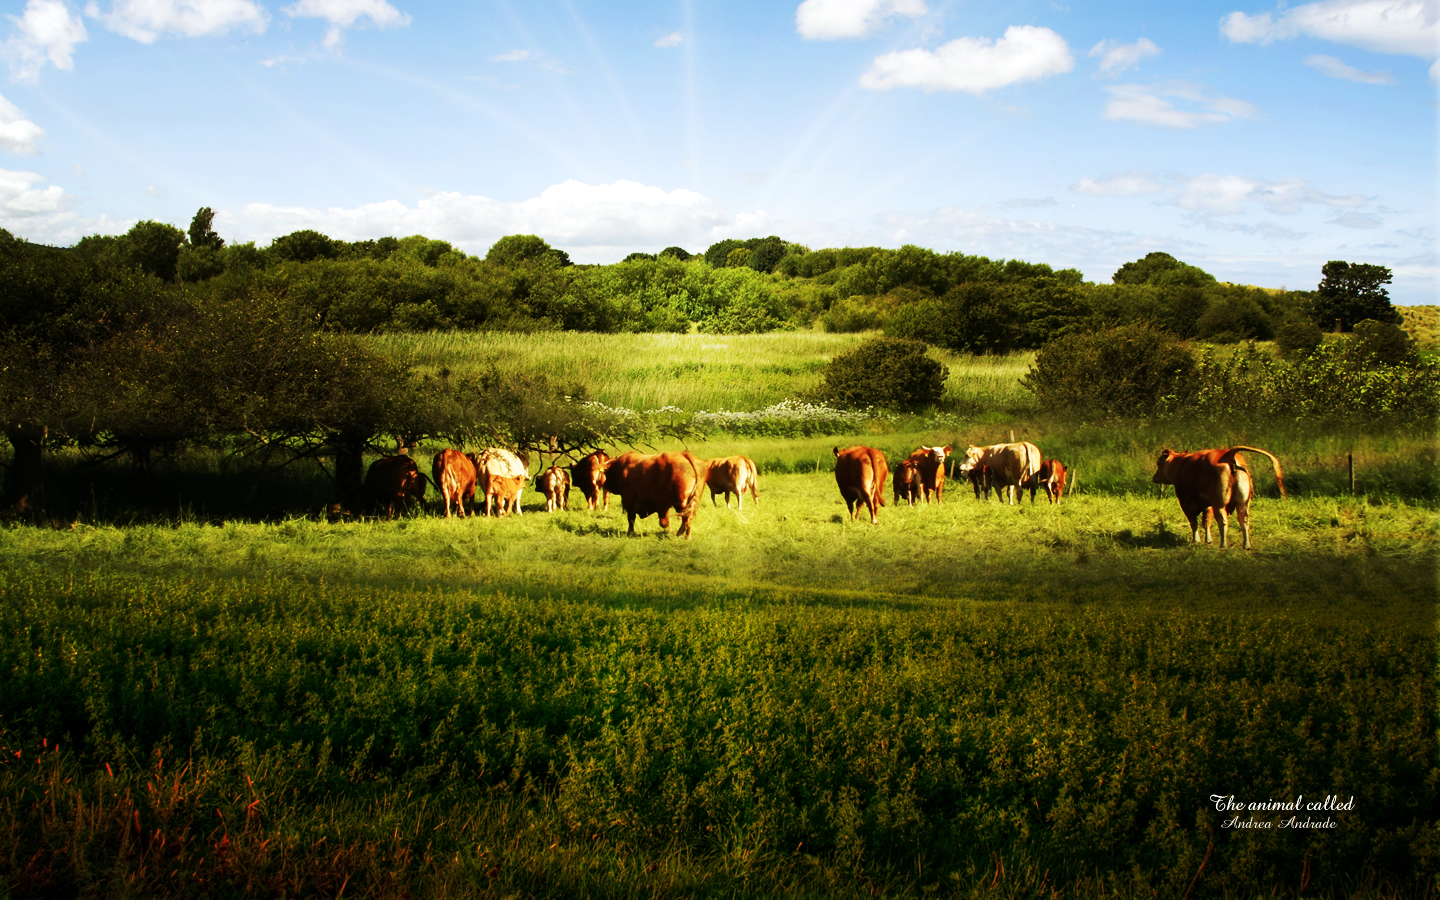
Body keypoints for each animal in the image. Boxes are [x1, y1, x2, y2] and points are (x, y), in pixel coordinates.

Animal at [1152, 443, 1290, 547]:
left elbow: (1194, 522)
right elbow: (1206, 521)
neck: (1180, 465)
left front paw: (1196, 540)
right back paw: (1246, 545)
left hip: (1219, 503)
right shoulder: (1208, 504)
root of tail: (1228, 453)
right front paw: (1208, 540)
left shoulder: (1186, 502)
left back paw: (1223, 545)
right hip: (1243, 502)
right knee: (1244, 520)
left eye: (1158, 463)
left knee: (1223, 521)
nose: (1154, 478)